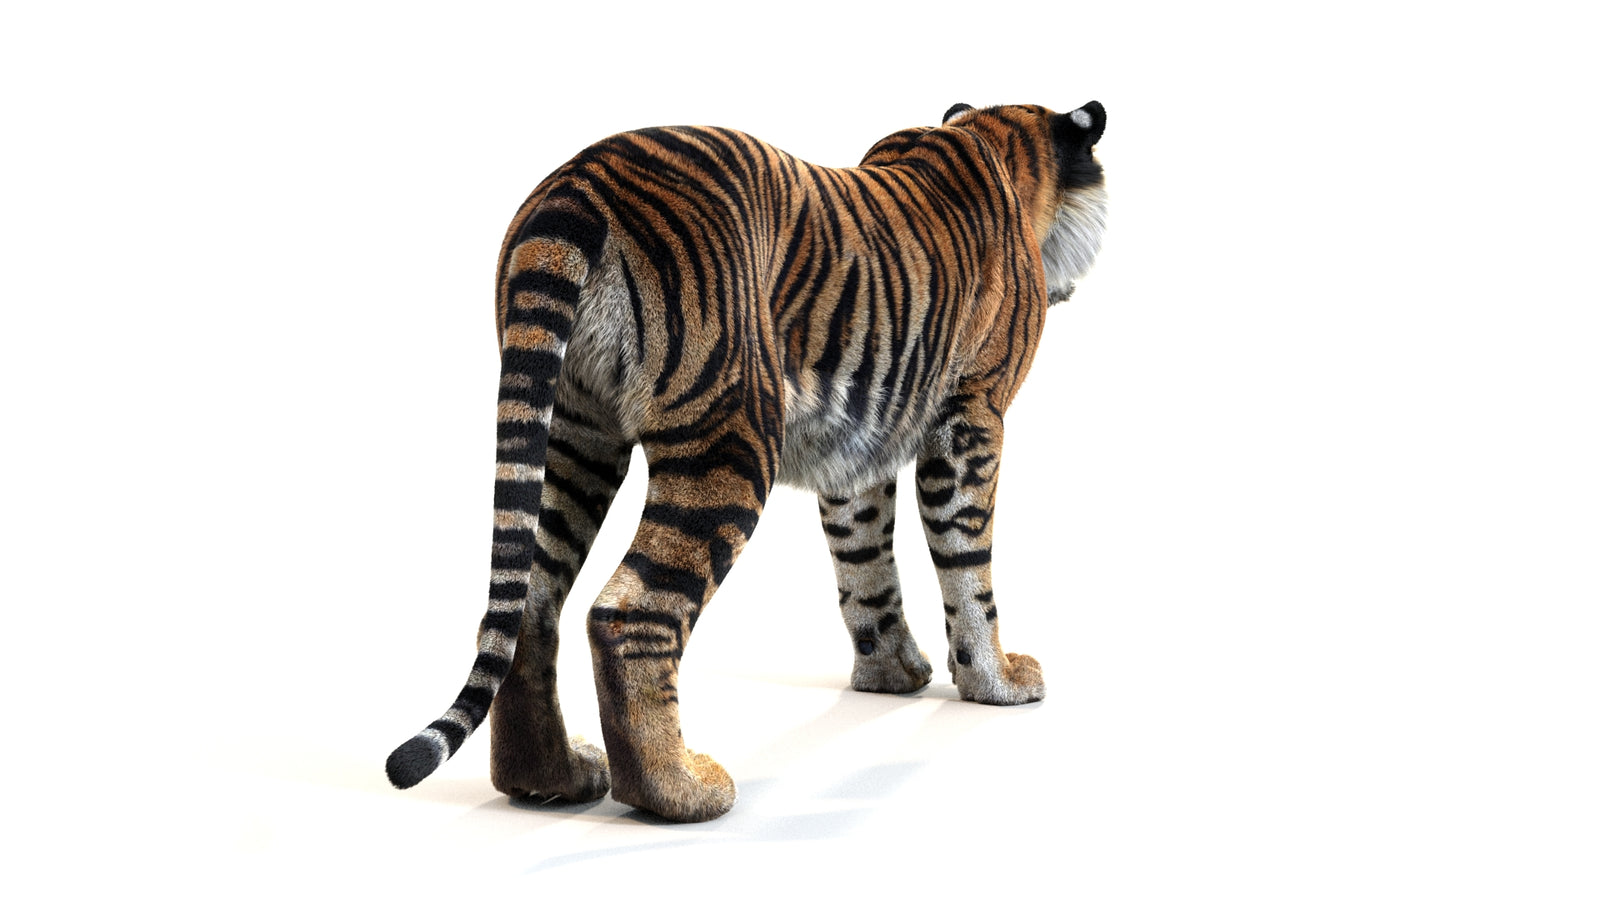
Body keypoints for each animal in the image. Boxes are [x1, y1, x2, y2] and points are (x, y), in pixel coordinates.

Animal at [386, 100, 1109, 822]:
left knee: (531, 602)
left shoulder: (859, 447)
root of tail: (579, 182)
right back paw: (681, 792)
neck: (994, 139)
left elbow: (865, 565)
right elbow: (967, 566)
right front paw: (996, 680)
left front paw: (890, 676)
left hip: (571, 432)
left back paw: (551, 778)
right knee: (627, 613)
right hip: (732, 431)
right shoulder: (971, 417)